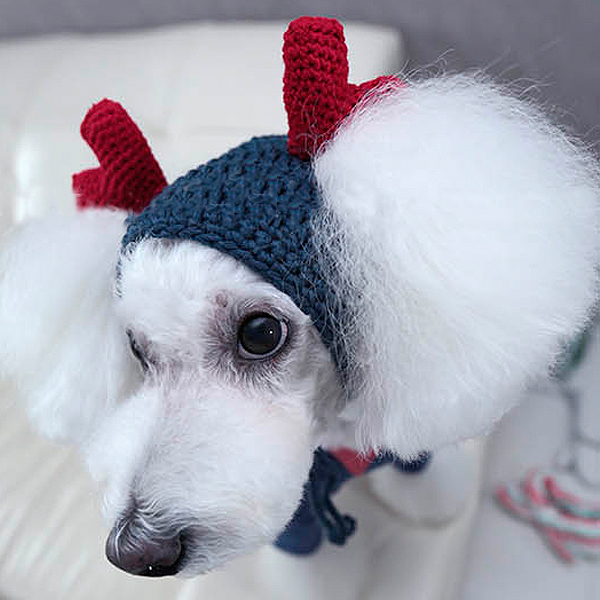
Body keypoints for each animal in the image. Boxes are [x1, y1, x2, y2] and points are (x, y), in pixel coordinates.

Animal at [0, 16, 596, 588]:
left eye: (262, 333)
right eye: (138, 352)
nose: (134, 551)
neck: (334, 436)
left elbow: (424, 479)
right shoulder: (300, 523)